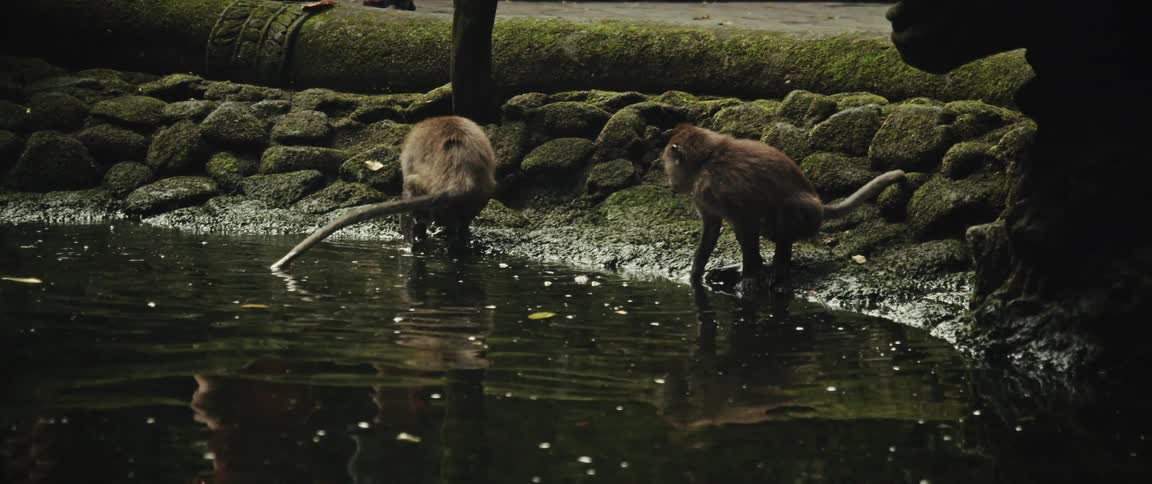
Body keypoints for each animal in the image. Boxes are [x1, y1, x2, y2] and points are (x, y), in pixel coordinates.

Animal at [270, 116, 496, 270]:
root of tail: (459, 180)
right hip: (479, 194)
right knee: (458, 229)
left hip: (419, 186)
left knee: (411, 206)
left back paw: (411, 244)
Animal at [661, 123, 905, 296]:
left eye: (668, 165)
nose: (671, 183)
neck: (707, 161)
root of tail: (821, 207)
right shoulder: (704, 195)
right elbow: (712, 229)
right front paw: (694, 276)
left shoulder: (722, 185)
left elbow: (747, 222)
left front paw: (749, 277)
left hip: (808, 216)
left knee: (786, 211)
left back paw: (778, 271)